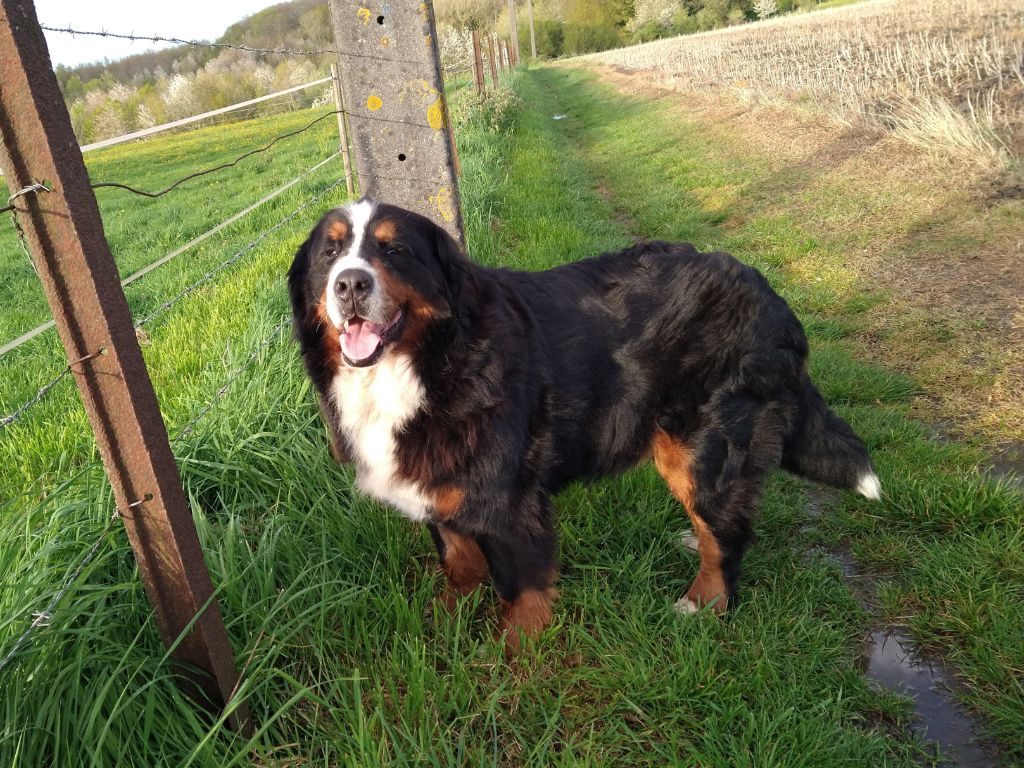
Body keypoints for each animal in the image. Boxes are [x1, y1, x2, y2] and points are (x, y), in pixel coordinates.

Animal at [288, 199, 881, 647]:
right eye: (330, 252)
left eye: (394, 250)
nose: (350, 285)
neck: (432, 362)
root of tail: (768, 293)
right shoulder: (440, 480)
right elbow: (459, 561)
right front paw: (446, 621)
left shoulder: (511, 501)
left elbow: (522, 592)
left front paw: (512, 663)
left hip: (705, 448)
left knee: (726, 538)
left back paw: (702, 605)